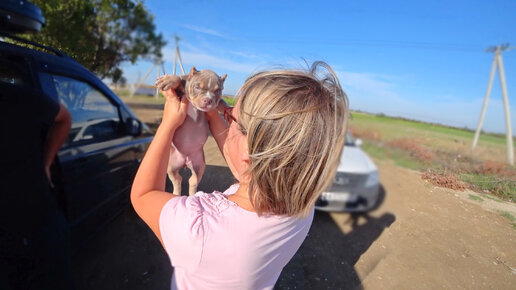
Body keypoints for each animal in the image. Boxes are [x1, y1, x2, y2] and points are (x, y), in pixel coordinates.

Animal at [156, 67, 227, 196]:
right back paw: (176, 193)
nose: (208, 100)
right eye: (197, 87)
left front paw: (230, 109)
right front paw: (168, 80)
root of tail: (185, 160)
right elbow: (179, 79)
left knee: (192, 181)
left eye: (218, 90)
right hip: (170, 165)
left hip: (199, 164)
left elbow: (222, 102)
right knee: (177, 179)